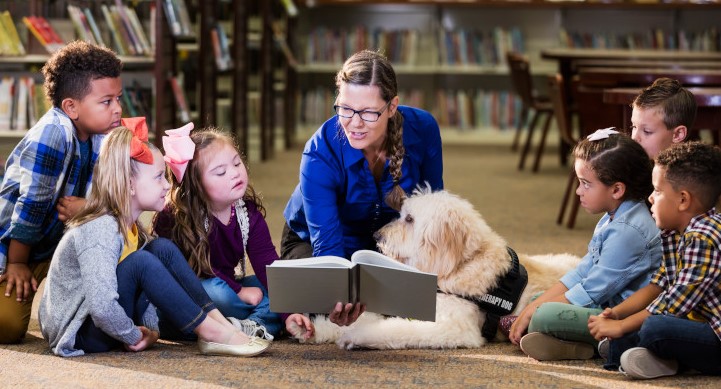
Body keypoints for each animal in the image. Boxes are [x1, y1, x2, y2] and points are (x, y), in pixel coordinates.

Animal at [286, 188, 580, 348]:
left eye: (409, 219)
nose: (378, 236)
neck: (460, 266)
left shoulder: (453, 326)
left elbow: (396, 329)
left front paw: (355, 335)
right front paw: (310, 329)